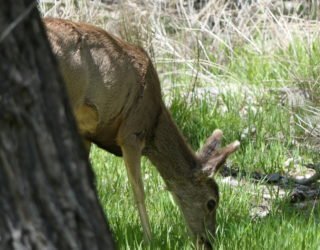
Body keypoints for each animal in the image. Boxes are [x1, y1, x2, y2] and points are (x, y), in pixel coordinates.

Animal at [45, 17, 240, 248]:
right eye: (212, 202)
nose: (208, 241)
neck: (154, 122)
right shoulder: (132, 132)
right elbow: (139, 191)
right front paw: (150, 240)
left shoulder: (86, 133)